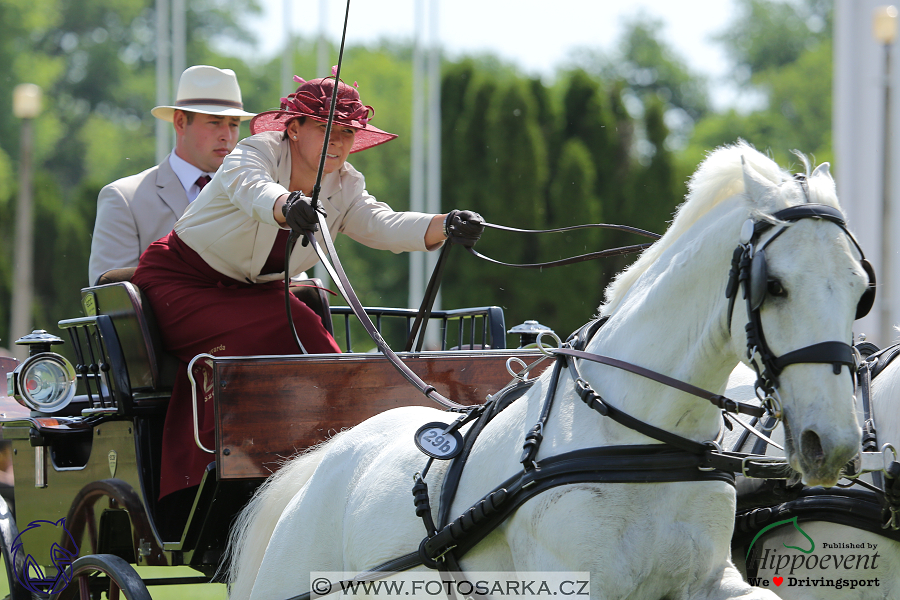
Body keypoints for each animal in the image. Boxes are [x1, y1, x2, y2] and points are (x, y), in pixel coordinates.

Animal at [223, 144, 864, 600]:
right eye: (773, 286)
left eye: (861, 290)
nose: (831, 442)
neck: (637, 438)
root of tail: (317, 465)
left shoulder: (709, 580)